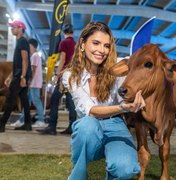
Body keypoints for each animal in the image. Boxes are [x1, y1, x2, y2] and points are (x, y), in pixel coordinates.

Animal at [109, 44, 175, 180]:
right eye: (129, 67)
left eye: (148, 64)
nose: (122, 90)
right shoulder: (140, 123)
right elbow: (143, 155)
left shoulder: (170, 122)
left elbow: (164, 151)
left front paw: (165, 177)